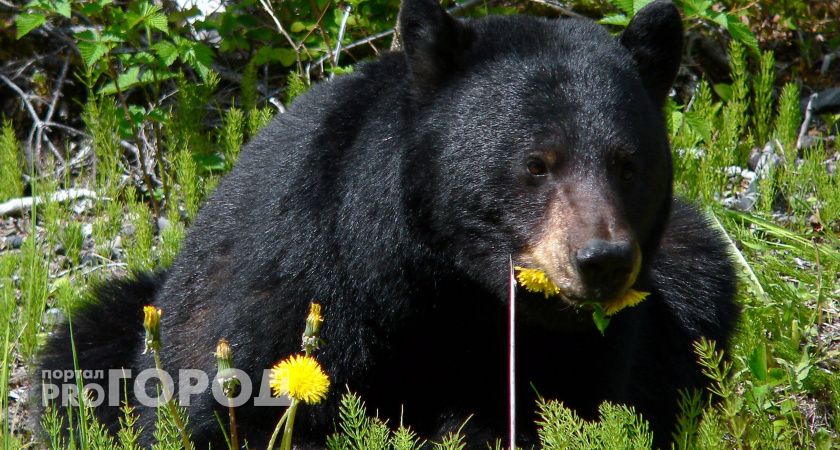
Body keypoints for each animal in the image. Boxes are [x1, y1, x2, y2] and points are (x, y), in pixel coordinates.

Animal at [41, 0, 736, 446]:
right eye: (536, 164)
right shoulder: (299, 275)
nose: (602, 260)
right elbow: (234, 408)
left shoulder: (586, 347)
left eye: (628, 164)